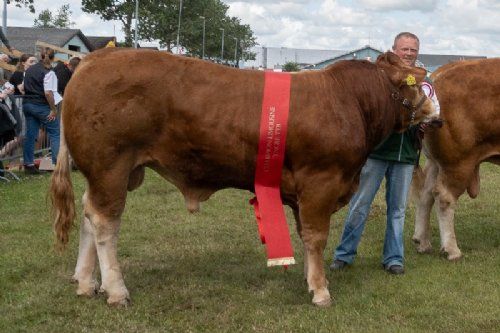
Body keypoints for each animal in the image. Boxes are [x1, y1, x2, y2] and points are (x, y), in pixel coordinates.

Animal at [48, 48, 436, 304]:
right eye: (417, 84)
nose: (436, 112)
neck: (350, 101)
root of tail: (96, 58)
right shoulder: (320, 183)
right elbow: (316, 237)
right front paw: (321, 289)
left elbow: (305, 237)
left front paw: (310, 280)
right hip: (110, 166)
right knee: (104, 223)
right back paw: (116, 290)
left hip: (111, 173)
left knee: (89, 214)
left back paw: (85, 282)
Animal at [412, 58, 498, 258]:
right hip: (458, 162)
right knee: (444, 197)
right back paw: (451, 249)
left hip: (436, 162)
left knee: (426, 194)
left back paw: (422, 242)